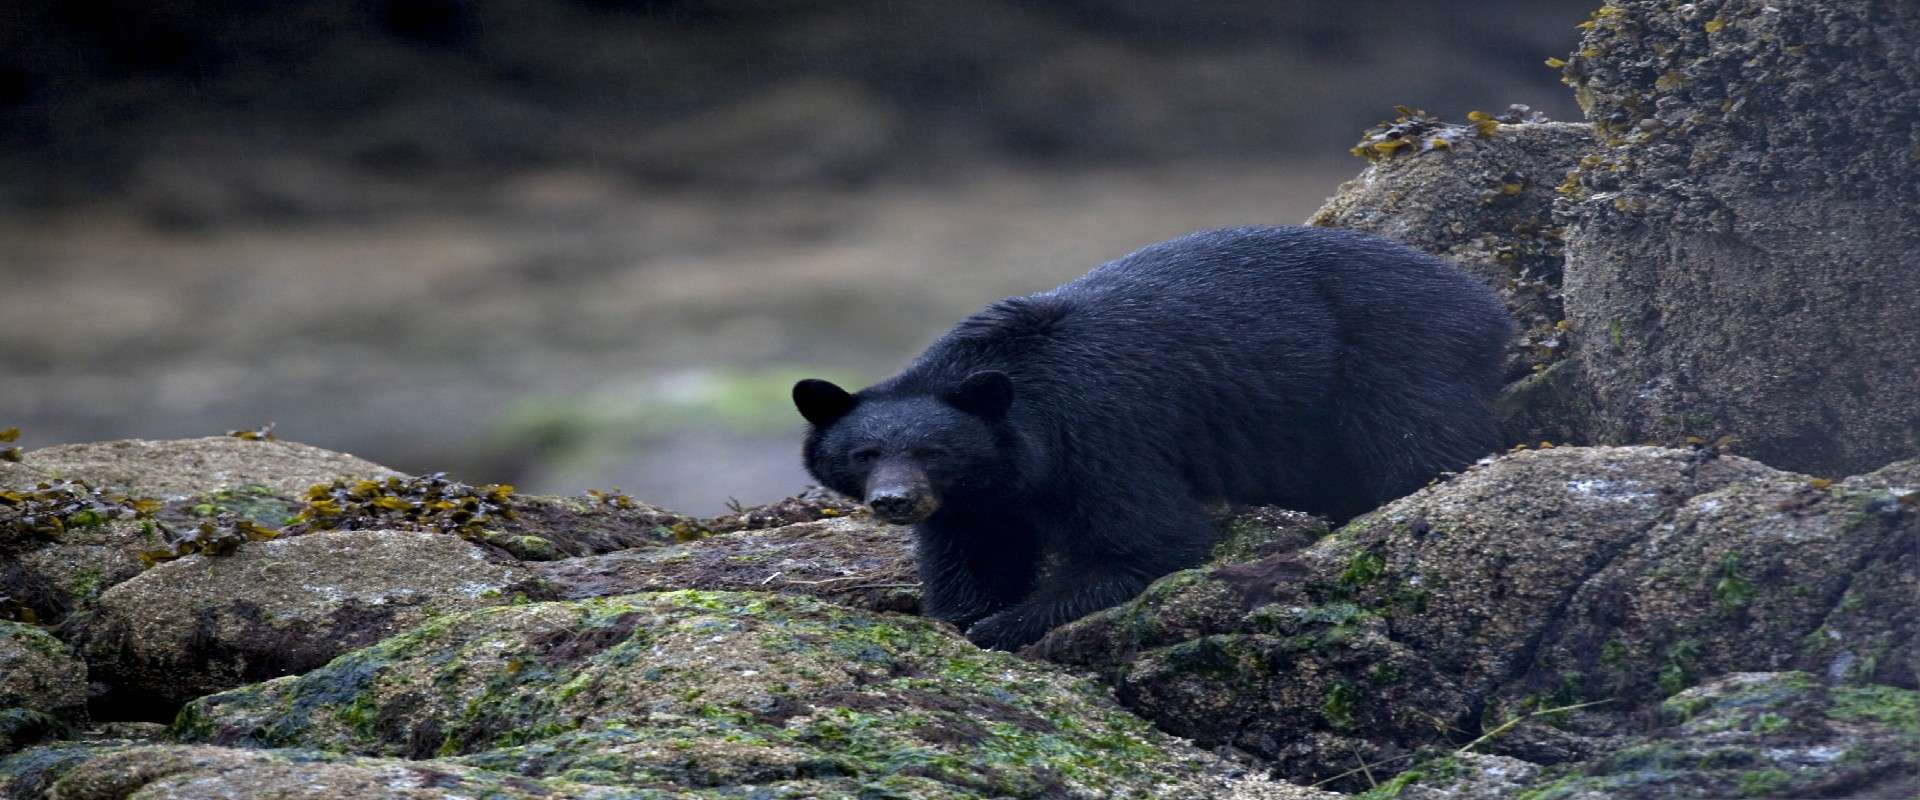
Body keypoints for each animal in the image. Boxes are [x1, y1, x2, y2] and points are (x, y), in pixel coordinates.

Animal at [793, 225, 1512, 650]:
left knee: (1417, 438)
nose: (895, 500)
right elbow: (971, 553)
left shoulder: (1098, 436)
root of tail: (1486, 300)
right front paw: (963, 612)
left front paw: (1006, 622)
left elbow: (1149, 539)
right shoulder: (980, 495)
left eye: (931, 452)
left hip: (1397, 354)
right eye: (865, 454)